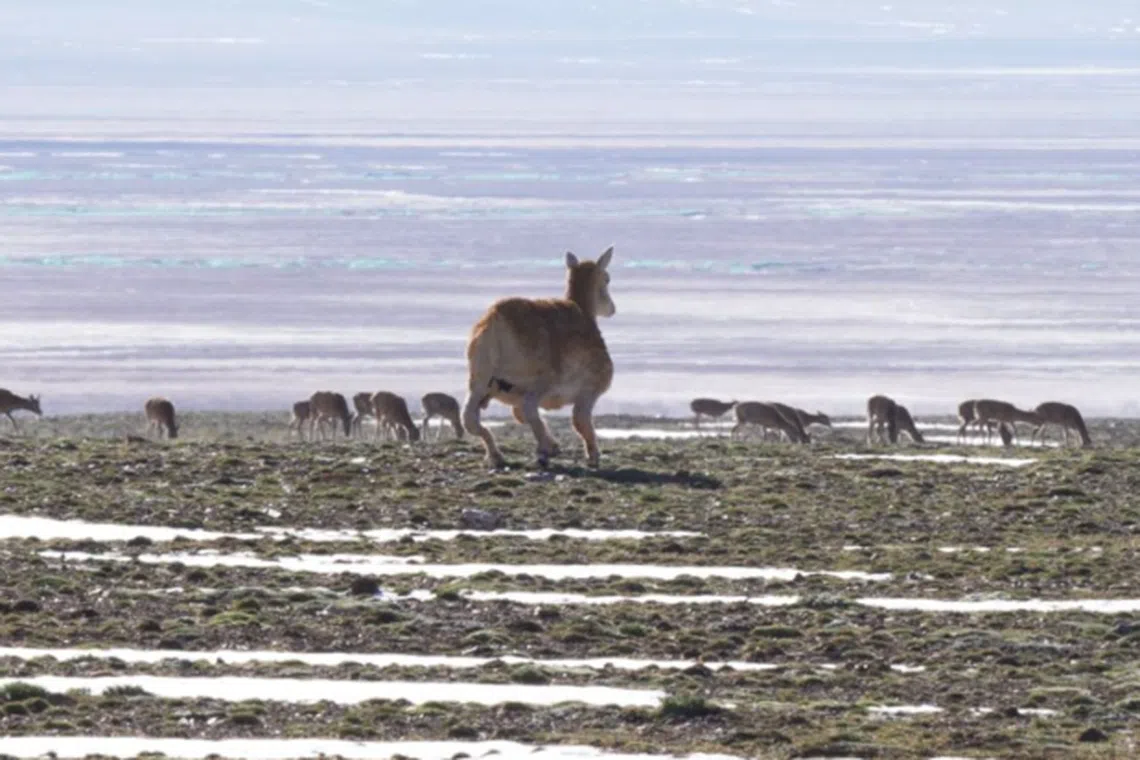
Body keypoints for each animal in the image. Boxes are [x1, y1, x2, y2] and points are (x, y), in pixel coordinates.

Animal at [463, 245, 616, 469]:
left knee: (470, 420)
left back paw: (498, 455)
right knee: (528, 407)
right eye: (607, 278)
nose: (612, 309)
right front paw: (593, 457)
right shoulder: (589, 392)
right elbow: (580, 421)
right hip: (540, 381)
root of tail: (496, 320)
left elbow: (519, 415)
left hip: (480, 383)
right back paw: (548, 449)